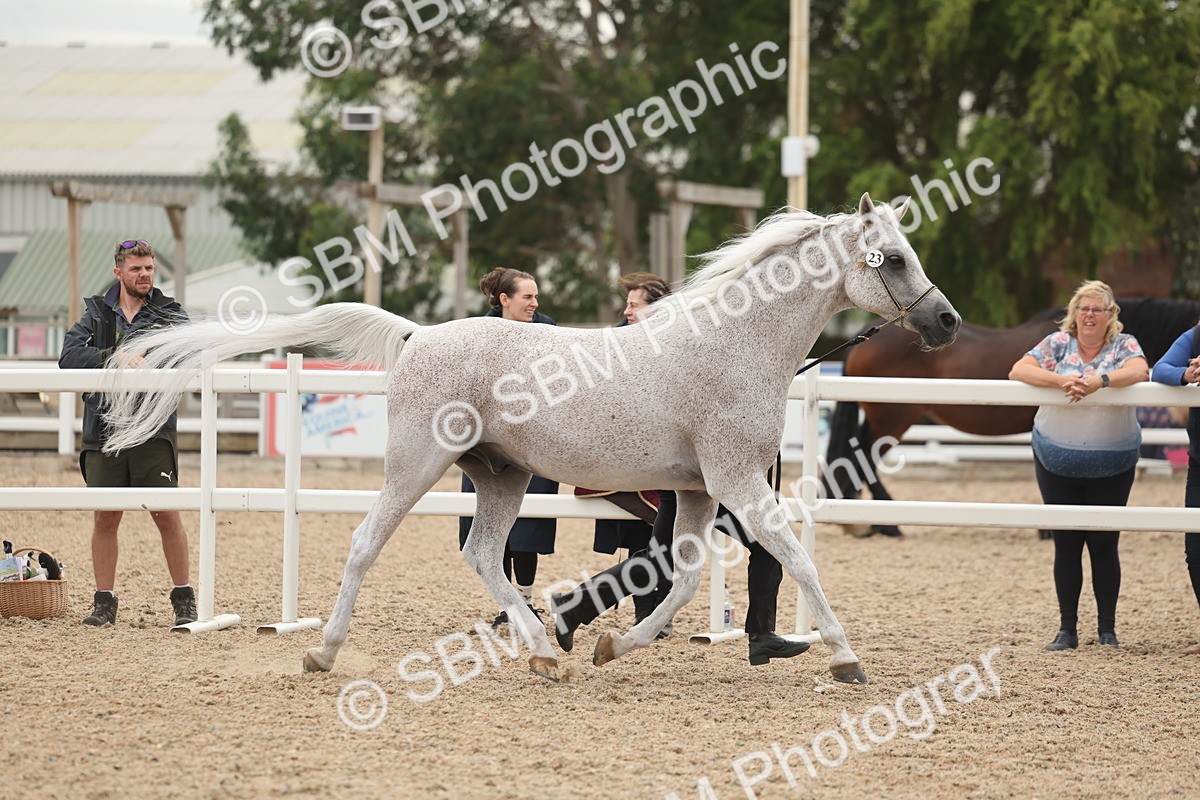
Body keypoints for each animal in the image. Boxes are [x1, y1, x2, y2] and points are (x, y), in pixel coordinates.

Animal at [99, 194, 960, 686]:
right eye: (892, 257)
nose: (947, 320)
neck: (734, 345)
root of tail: (416, 336)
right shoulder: (739, 483)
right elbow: (798, 561)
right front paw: (845, 659)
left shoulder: (696, 491)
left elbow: (681, 582)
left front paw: (612, 649)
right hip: (417, 464)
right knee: (366, 544)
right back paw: (322, 653)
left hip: (502, 476)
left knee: (484, 555)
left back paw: (547, 652)